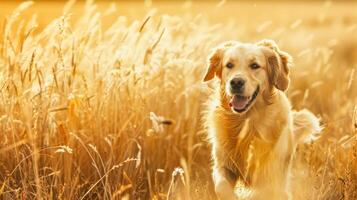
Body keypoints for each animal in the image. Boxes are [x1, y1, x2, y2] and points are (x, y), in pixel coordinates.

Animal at [202, 39, 322, 199]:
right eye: (229, 65)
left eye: (255, 66)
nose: (236, 82)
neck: (246, 122)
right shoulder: (223, 163)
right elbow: (222, 187)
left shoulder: (268, 172)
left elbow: (263, 191)